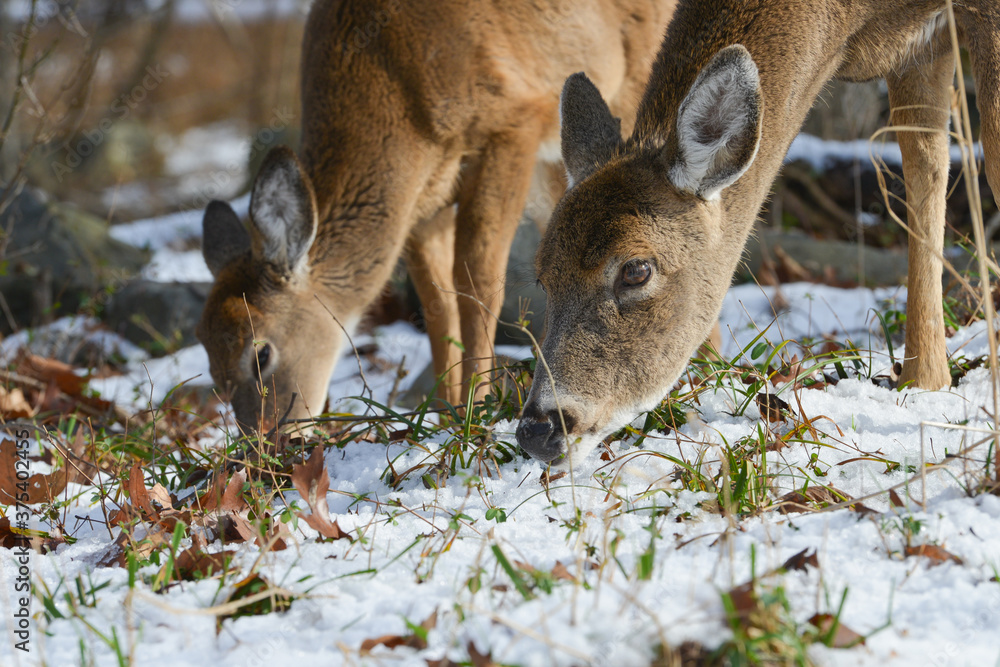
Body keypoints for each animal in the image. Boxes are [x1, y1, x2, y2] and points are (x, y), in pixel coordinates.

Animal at [195, 0, 677, 433]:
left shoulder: (510, 123)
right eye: (206, 351)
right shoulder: (424, 201)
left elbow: (478, 281)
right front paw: (447, 413)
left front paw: (476, 409)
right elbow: (437, 301)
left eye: (261, 352)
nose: (266, 445)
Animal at [516, 0, 1000, 464]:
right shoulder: (919, 47)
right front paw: (926, 383)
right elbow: (925, 171)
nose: (539, 430)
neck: (851, 18)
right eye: (542, 276)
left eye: (636, 270)